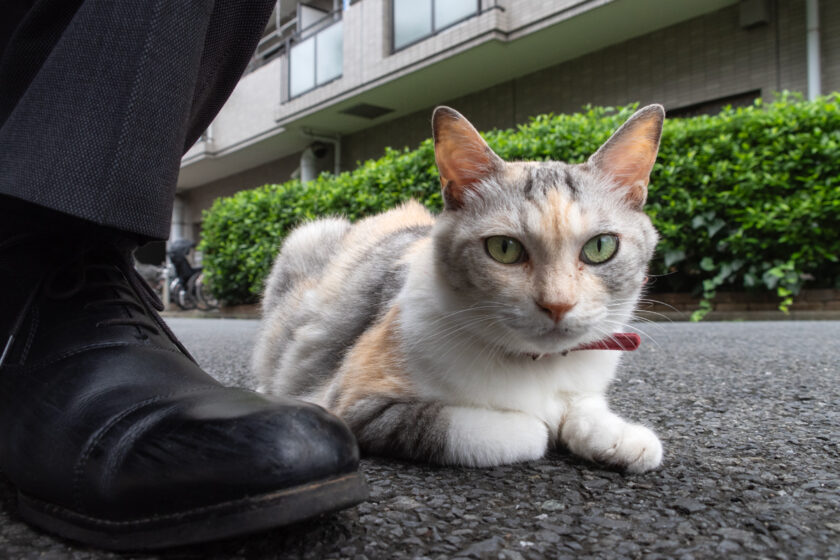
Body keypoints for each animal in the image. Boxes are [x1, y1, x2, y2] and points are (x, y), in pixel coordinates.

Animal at [253, 105, 668, 472]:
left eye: (601, 247)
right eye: (504, 248)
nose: (557, 304)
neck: (539, 367)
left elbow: (584, 406)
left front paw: (622, 437)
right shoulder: (353, 405)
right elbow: (494, 430)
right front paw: (539, 425)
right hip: (307, 239)